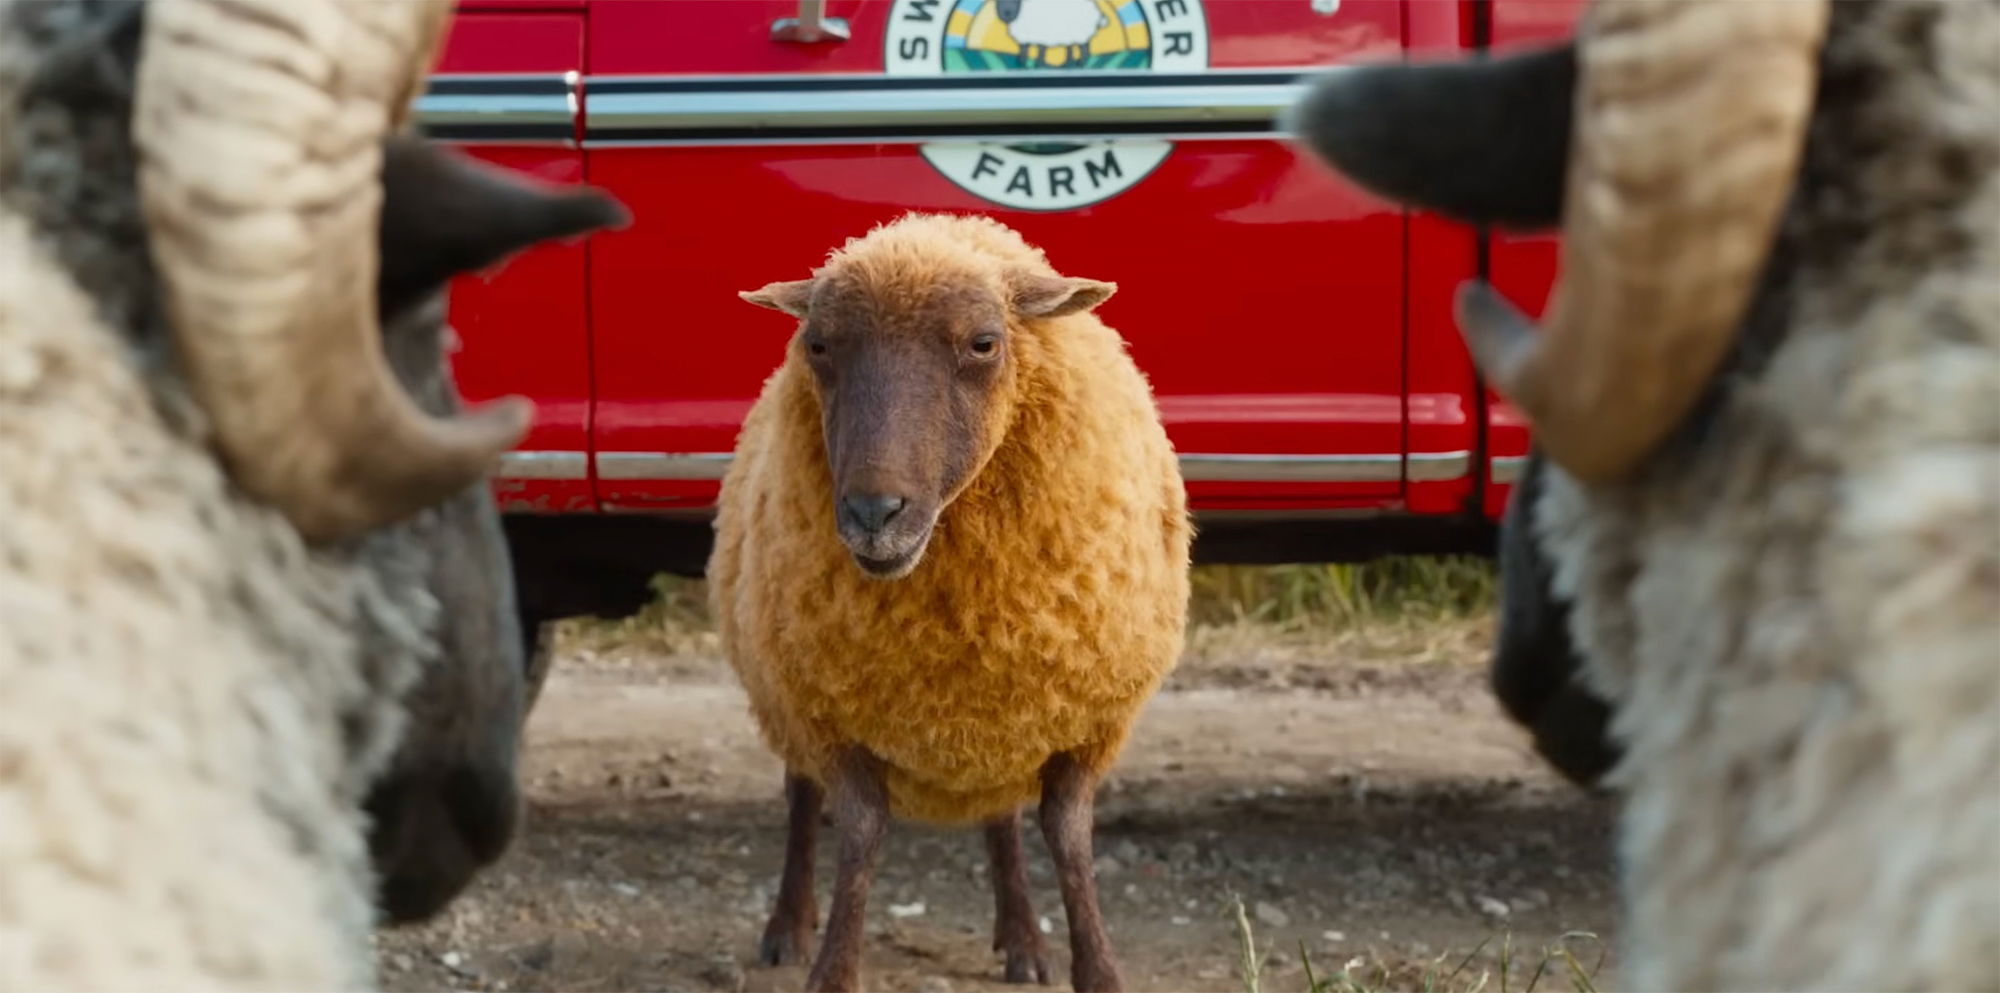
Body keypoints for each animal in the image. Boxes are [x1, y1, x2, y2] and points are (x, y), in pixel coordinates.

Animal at [716, 211, 1191, 993]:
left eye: (984, 343)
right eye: (818, 344)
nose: (873, 513)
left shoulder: (1086, 721)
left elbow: (1067, 835)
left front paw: (1094, 968)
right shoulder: (833, 716)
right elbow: (860, 832)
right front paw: (832, 968)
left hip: (1001, 725)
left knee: (1001, 817)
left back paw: (1023, 938)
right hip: (786, 692)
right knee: (800, 796)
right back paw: (787, 926)